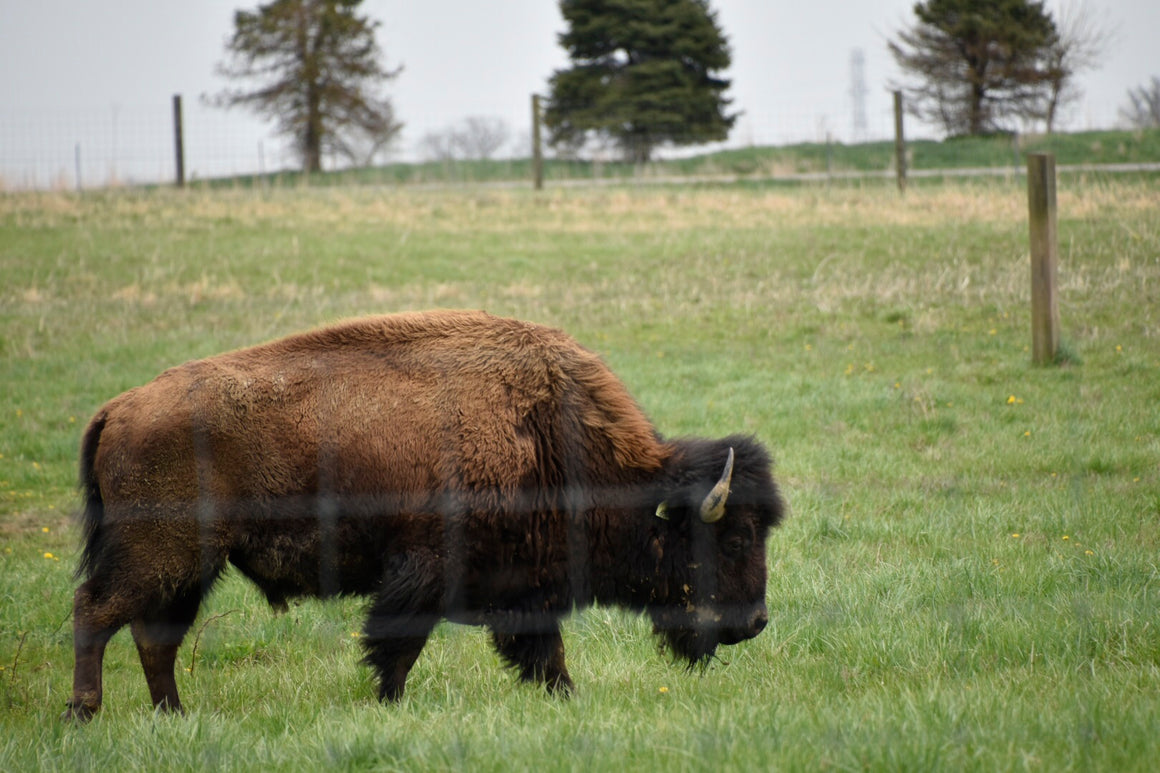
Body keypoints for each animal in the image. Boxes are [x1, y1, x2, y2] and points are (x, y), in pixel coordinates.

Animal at [64, 310, 784, 720]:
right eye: (734, 538)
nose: (754, 623)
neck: (549, 433)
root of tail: (117, 407)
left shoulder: (525, 588)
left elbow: (543, 653)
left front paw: (567, 699)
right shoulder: (423, 572)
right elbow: (398, 645)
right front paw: (389, 704)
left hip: (188, 566)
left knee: (155, 635)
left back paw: (174, 716)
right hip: (162, 553)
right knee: (97, 612)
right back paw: (84, 713)